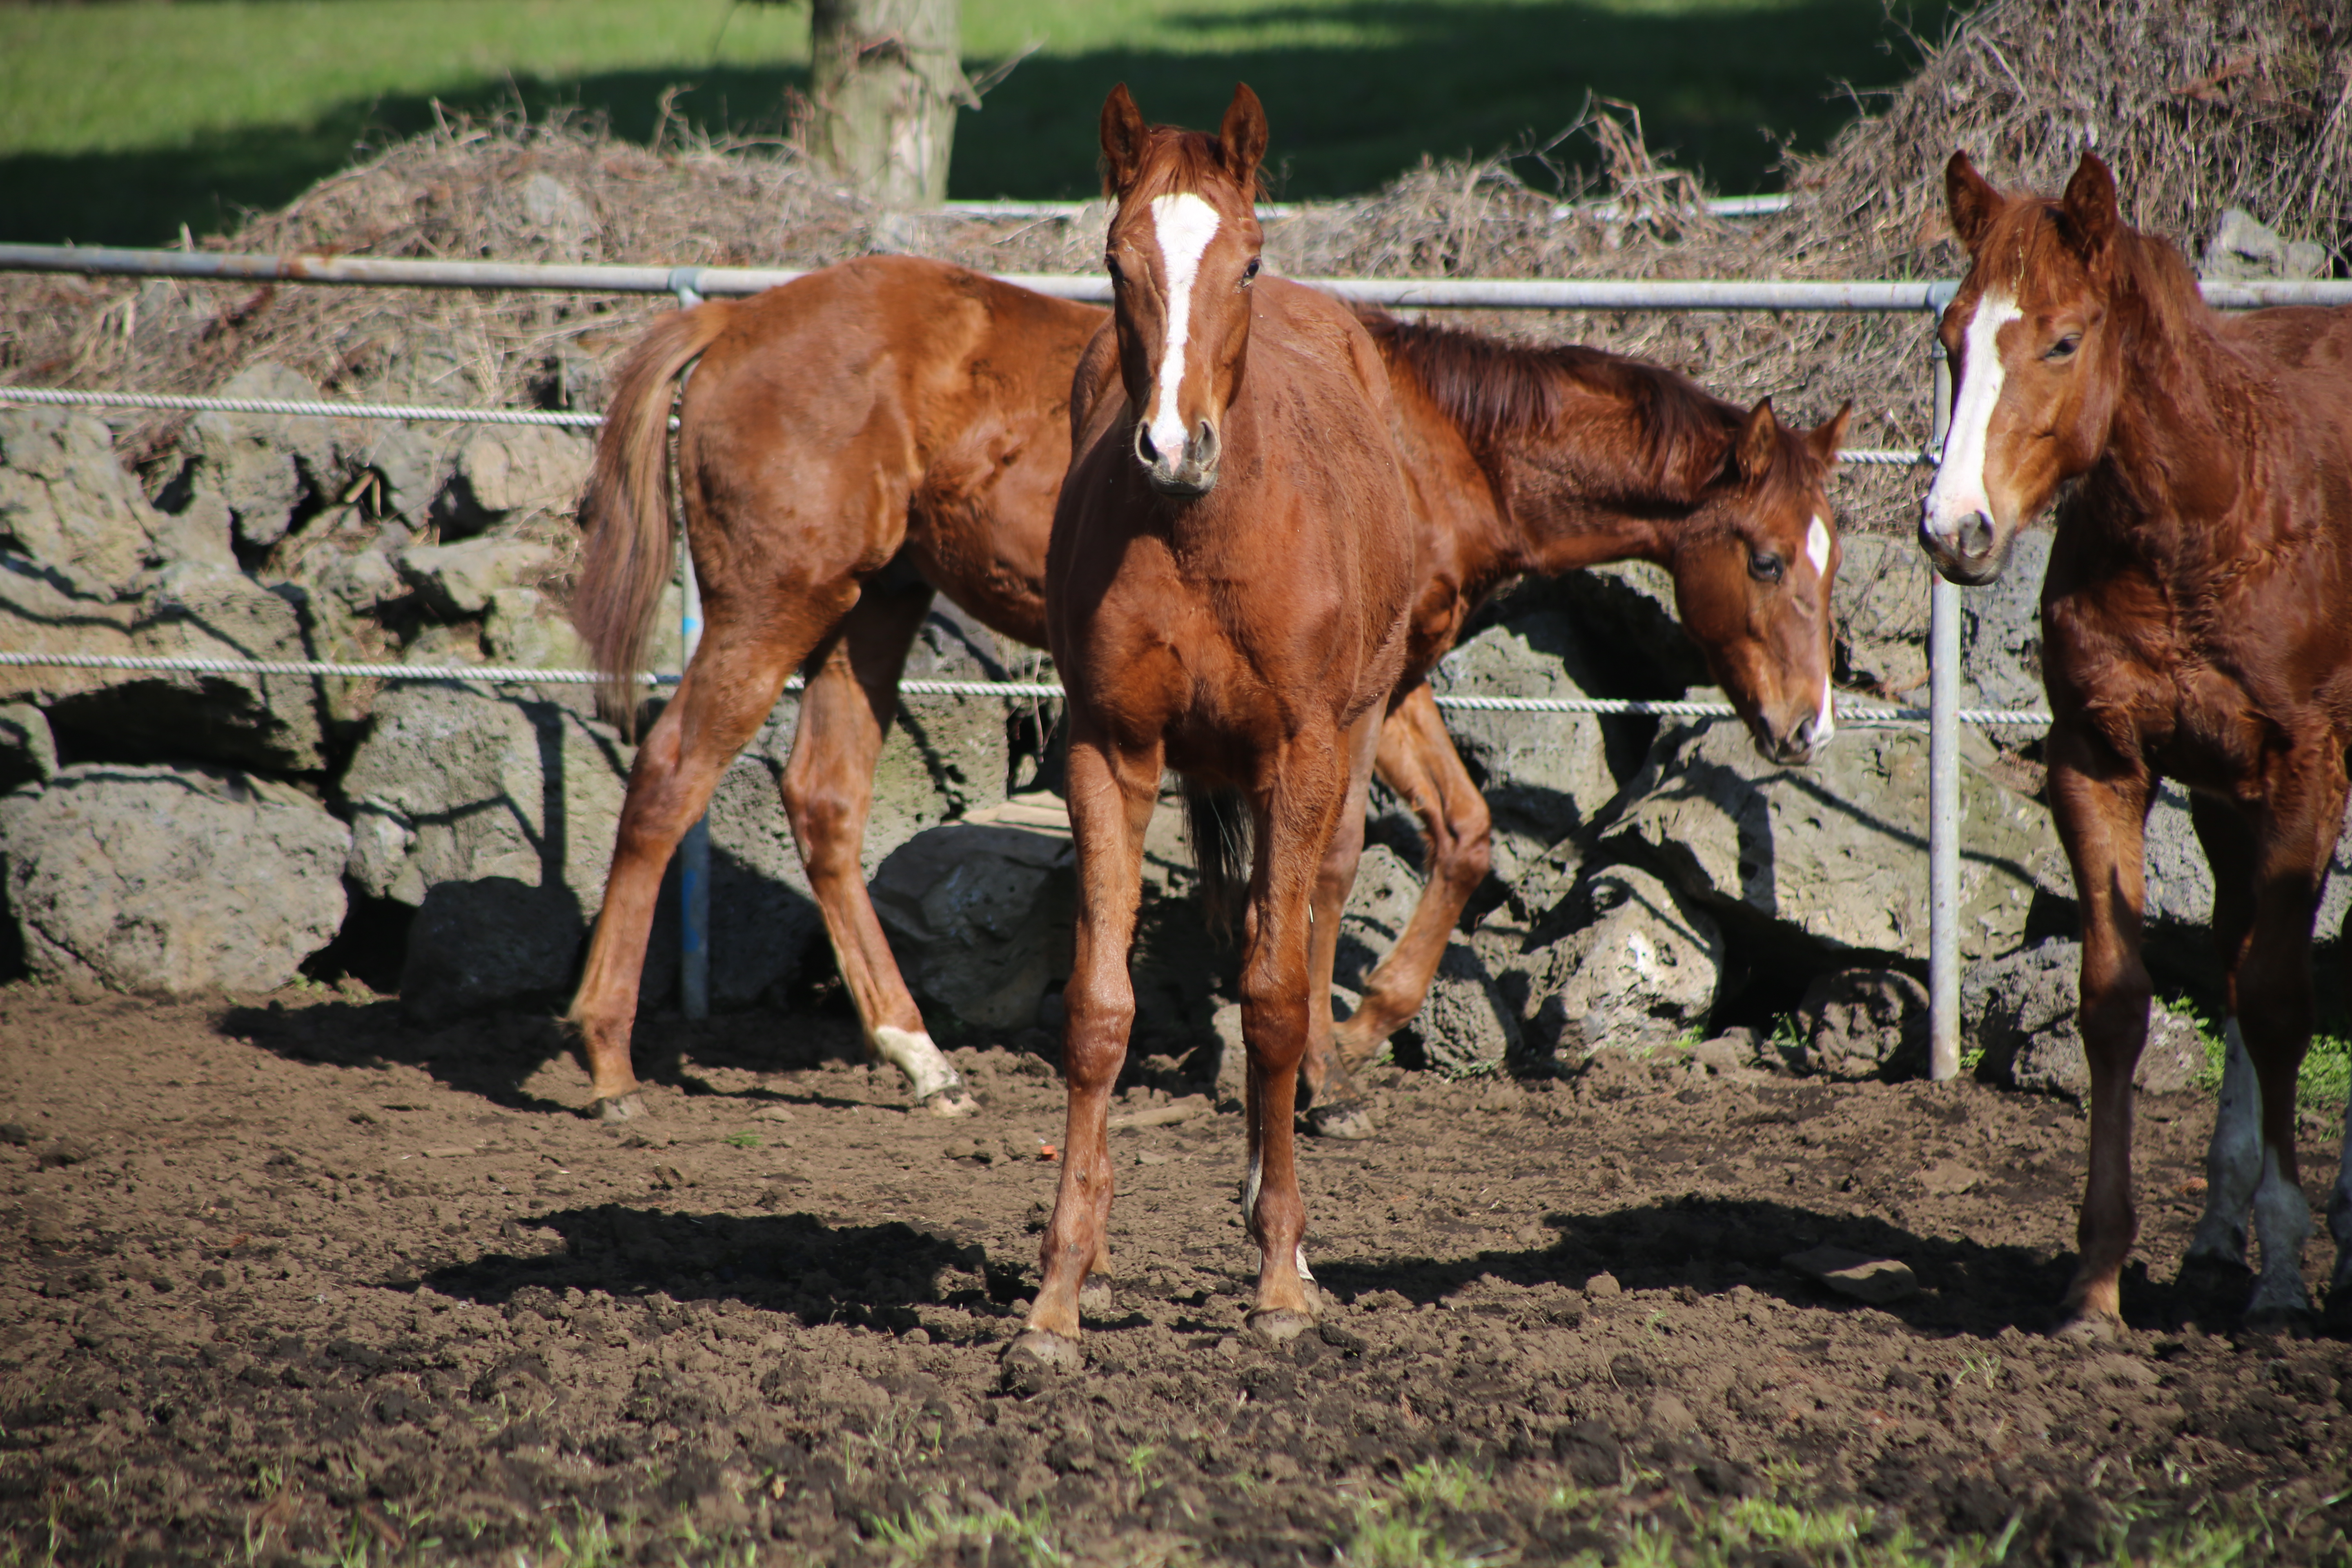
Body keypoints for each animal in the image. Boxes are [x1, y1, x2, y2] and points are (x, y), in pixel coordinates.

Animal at [559, 227, 1844, 1133]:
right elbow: (1330, 867)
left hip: (873, 608)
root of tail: (735, 317)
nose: (1806, 726)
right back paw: (609, 1056)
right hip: (773, 609)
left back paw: (920, 1059)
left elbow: (1462, 833)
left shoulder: (1385, 685)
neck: (1412, 438)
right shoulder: (1352, 706)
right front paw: (1329, 1057)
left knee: (823, 800)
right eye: (1767, 558)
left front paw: (1341, 1039)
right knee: (667, 777)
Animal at [1011, 80, 1411, 1373]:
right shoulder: (1109, 755)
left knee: (1302, 923)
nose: (1173, 447)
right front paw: (1057, 1297)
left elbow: (1279, 1004)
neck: (1201, 533)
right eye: (1114, 257)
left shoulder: (1301, 758)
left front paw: (1282, 1279)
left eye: (1246, 261)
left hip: (1355, 734)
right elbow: (1098, 1015)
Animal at [1919, 150, 2352, 1335]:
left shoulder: (2308, 771)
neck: (2206, 513)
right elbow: (2116, 1003)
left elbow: (2285, 1004)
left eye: (2063, 341)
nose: (1952, 530)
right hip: (2221, 800)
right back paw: (2214, 1233)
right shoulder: (2103, 762)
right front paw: (2096, 1282)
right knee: (2237, 945)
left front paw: (2285, 1276)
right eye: (1950, 334)